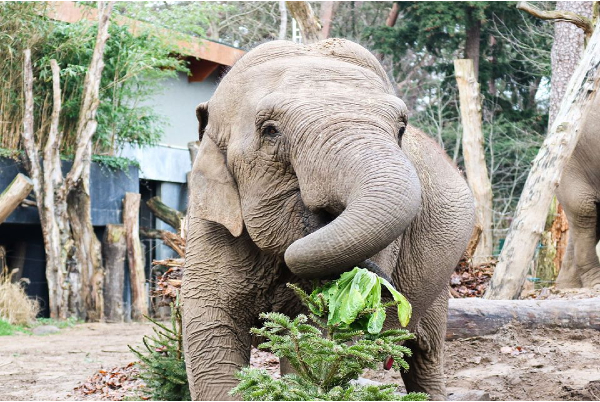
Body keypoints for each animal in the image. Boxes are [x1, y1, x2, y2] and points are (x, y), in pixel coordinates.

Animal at [182, 38, 474, 402]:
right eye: (270, 131)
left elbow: (319, 332)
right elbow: (210, 334)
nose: (381, 285)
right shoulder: (210, 224)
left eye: (400, 129)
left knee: (425, 354)